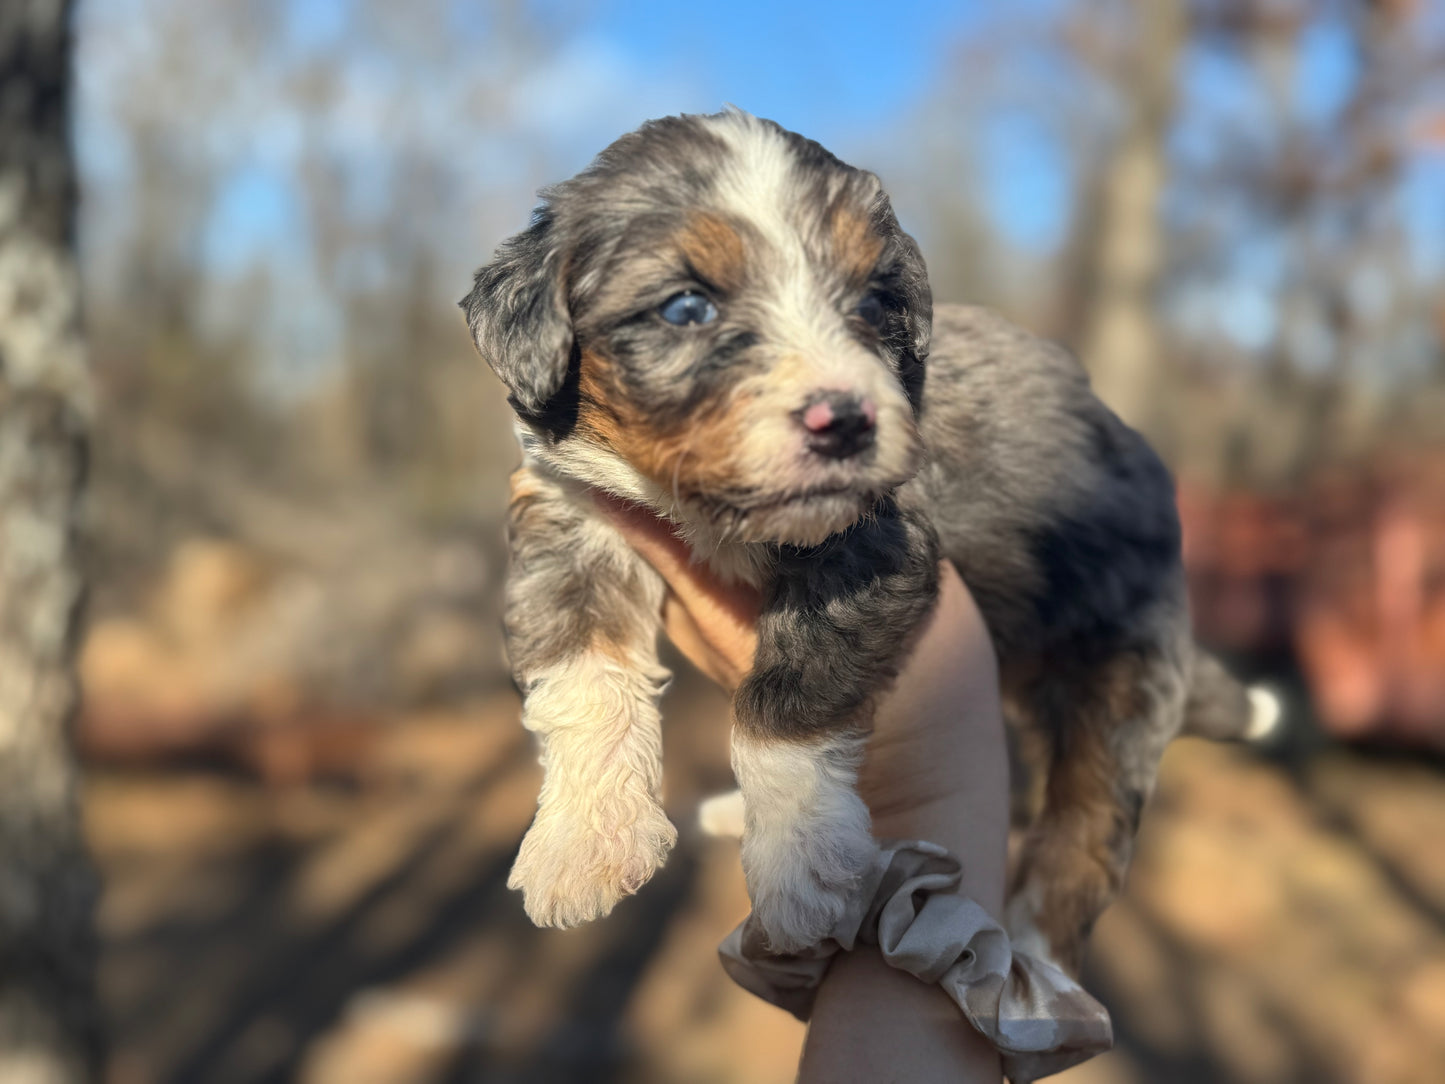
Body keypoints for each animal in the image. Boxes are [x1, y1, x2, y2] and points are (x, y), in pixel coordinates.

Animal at [459, 110, 1254, 977]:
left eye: (874, 303)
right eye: (685, 308)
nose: (842, 422)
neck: (716, 511)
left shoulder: (870, 546)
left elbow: (787, 704)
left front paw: (797, 870)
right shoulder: (571, 516)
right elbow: (581, 674)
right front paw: (583, 842)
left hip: (1122, 678)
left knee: (1083, 836)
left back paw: (1036, 961)